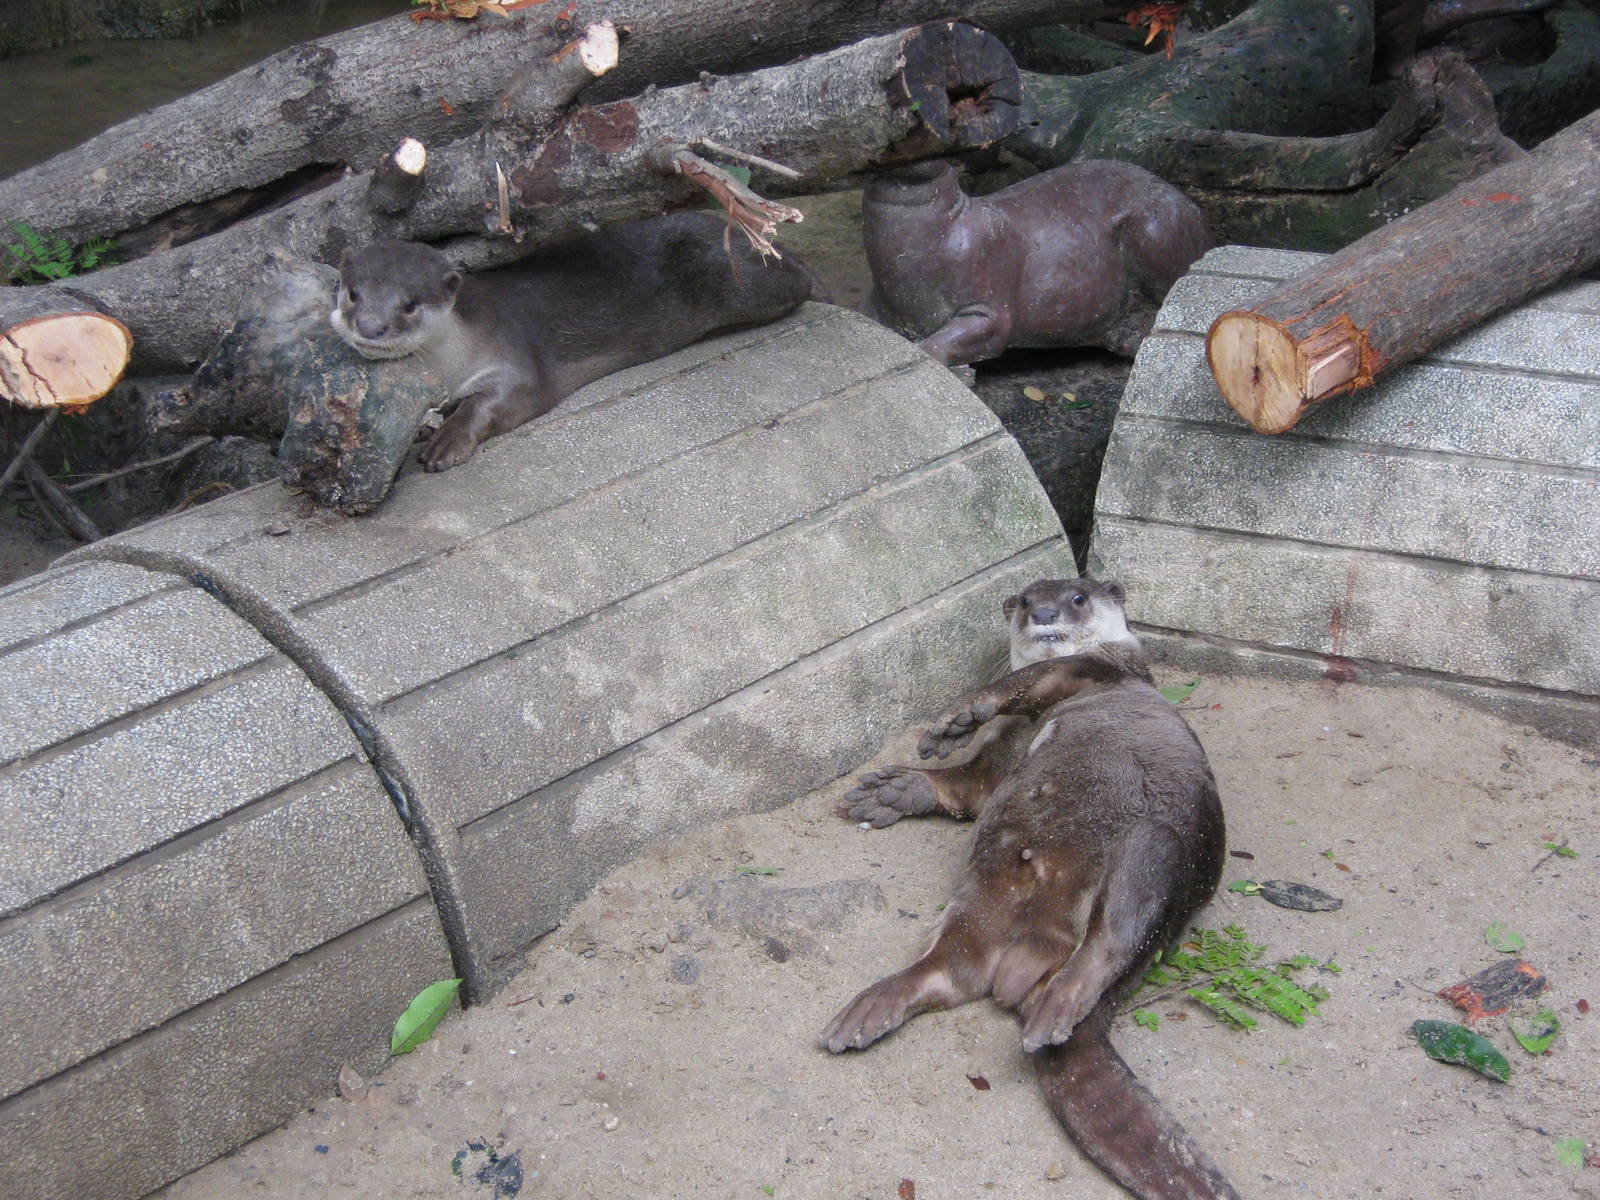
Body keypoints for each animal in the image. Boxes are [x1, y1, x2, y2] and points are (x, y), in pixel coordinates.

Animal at [331, 212, 821, 471]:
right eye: (353, 293)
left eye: (410, 304)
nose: (370, 326)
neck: (450, 364)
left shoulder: (515, 362)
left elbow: (494, 403)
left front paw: (446, 442)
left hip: (745, 282)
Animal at [828, 578, 1240, 1200]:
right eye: (1024, 600)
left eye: (1077, 596)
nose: (1043, 612)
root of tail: (1031, 961)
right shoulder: (1003, 753)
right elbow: (970, 788)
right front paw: (897, 789)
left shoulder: (1101, 669)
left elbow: (1027, 680)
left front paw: (958, 717)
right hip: (975, 914)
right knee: (950, 971)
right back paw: (872, 1009)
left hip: (1158, 849)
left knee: (1118, 931)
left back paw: (1056, 1009)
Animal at [863, 160, 1211, 365]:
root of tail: (1193, 209)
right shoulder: (878, 302)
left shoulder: (990, 303)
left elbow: (945, 343)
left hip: (1156, 228)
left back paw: (1127, 335)